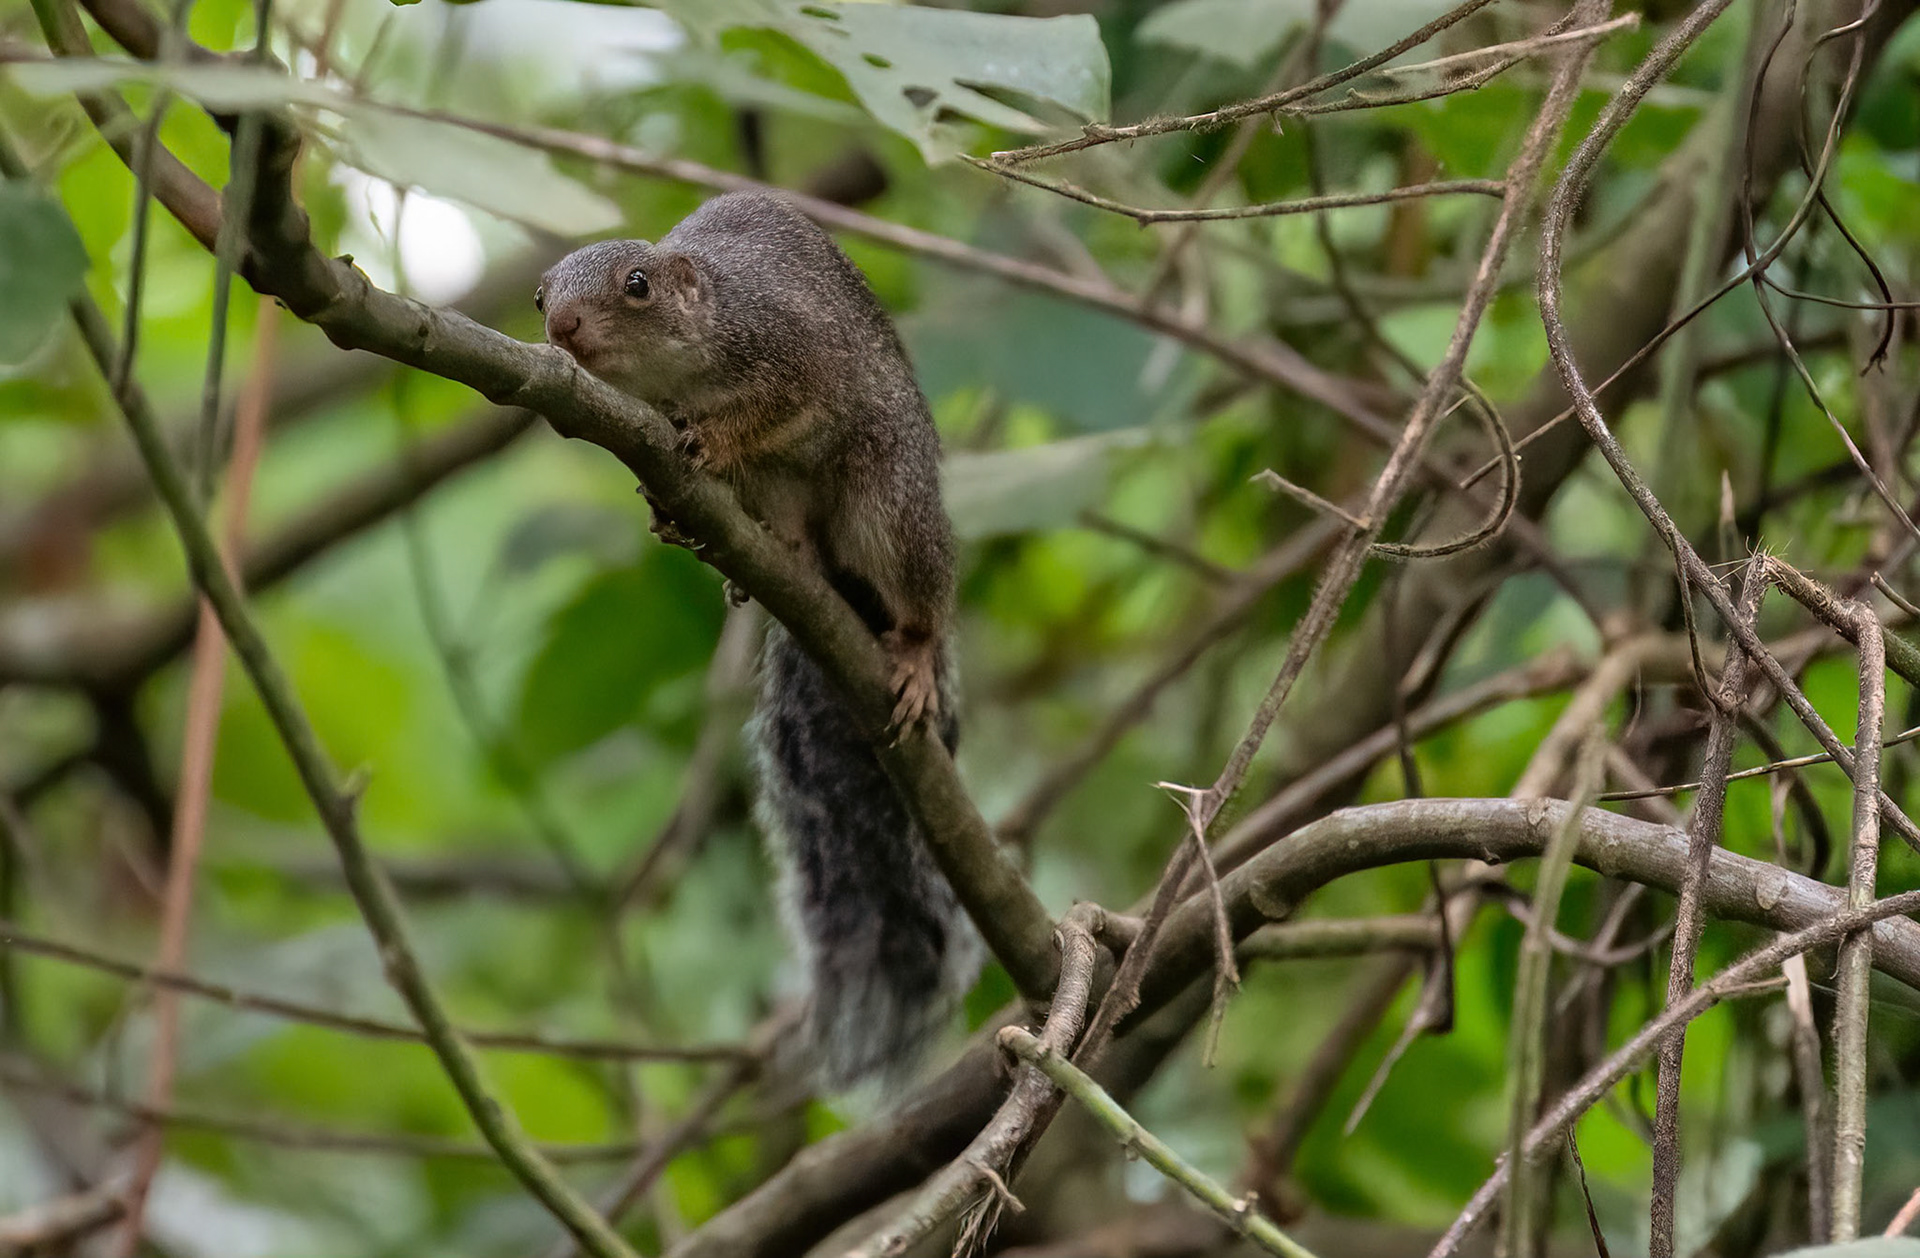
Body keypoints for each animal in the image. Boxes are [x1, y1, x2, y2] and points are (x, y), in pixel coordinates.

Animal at [536, 191, 981, 1089]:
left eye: (637, 285)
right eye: (537, 297)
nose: (562, 326)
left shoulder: (794, 351)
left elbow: (779, 407)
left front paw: (712, 437)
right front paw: (671, 509)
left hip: (888, 497)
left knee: (917, 593)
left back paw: (914, 651)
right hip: (782, 494)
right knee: (789, 527)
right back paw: (775, 559)